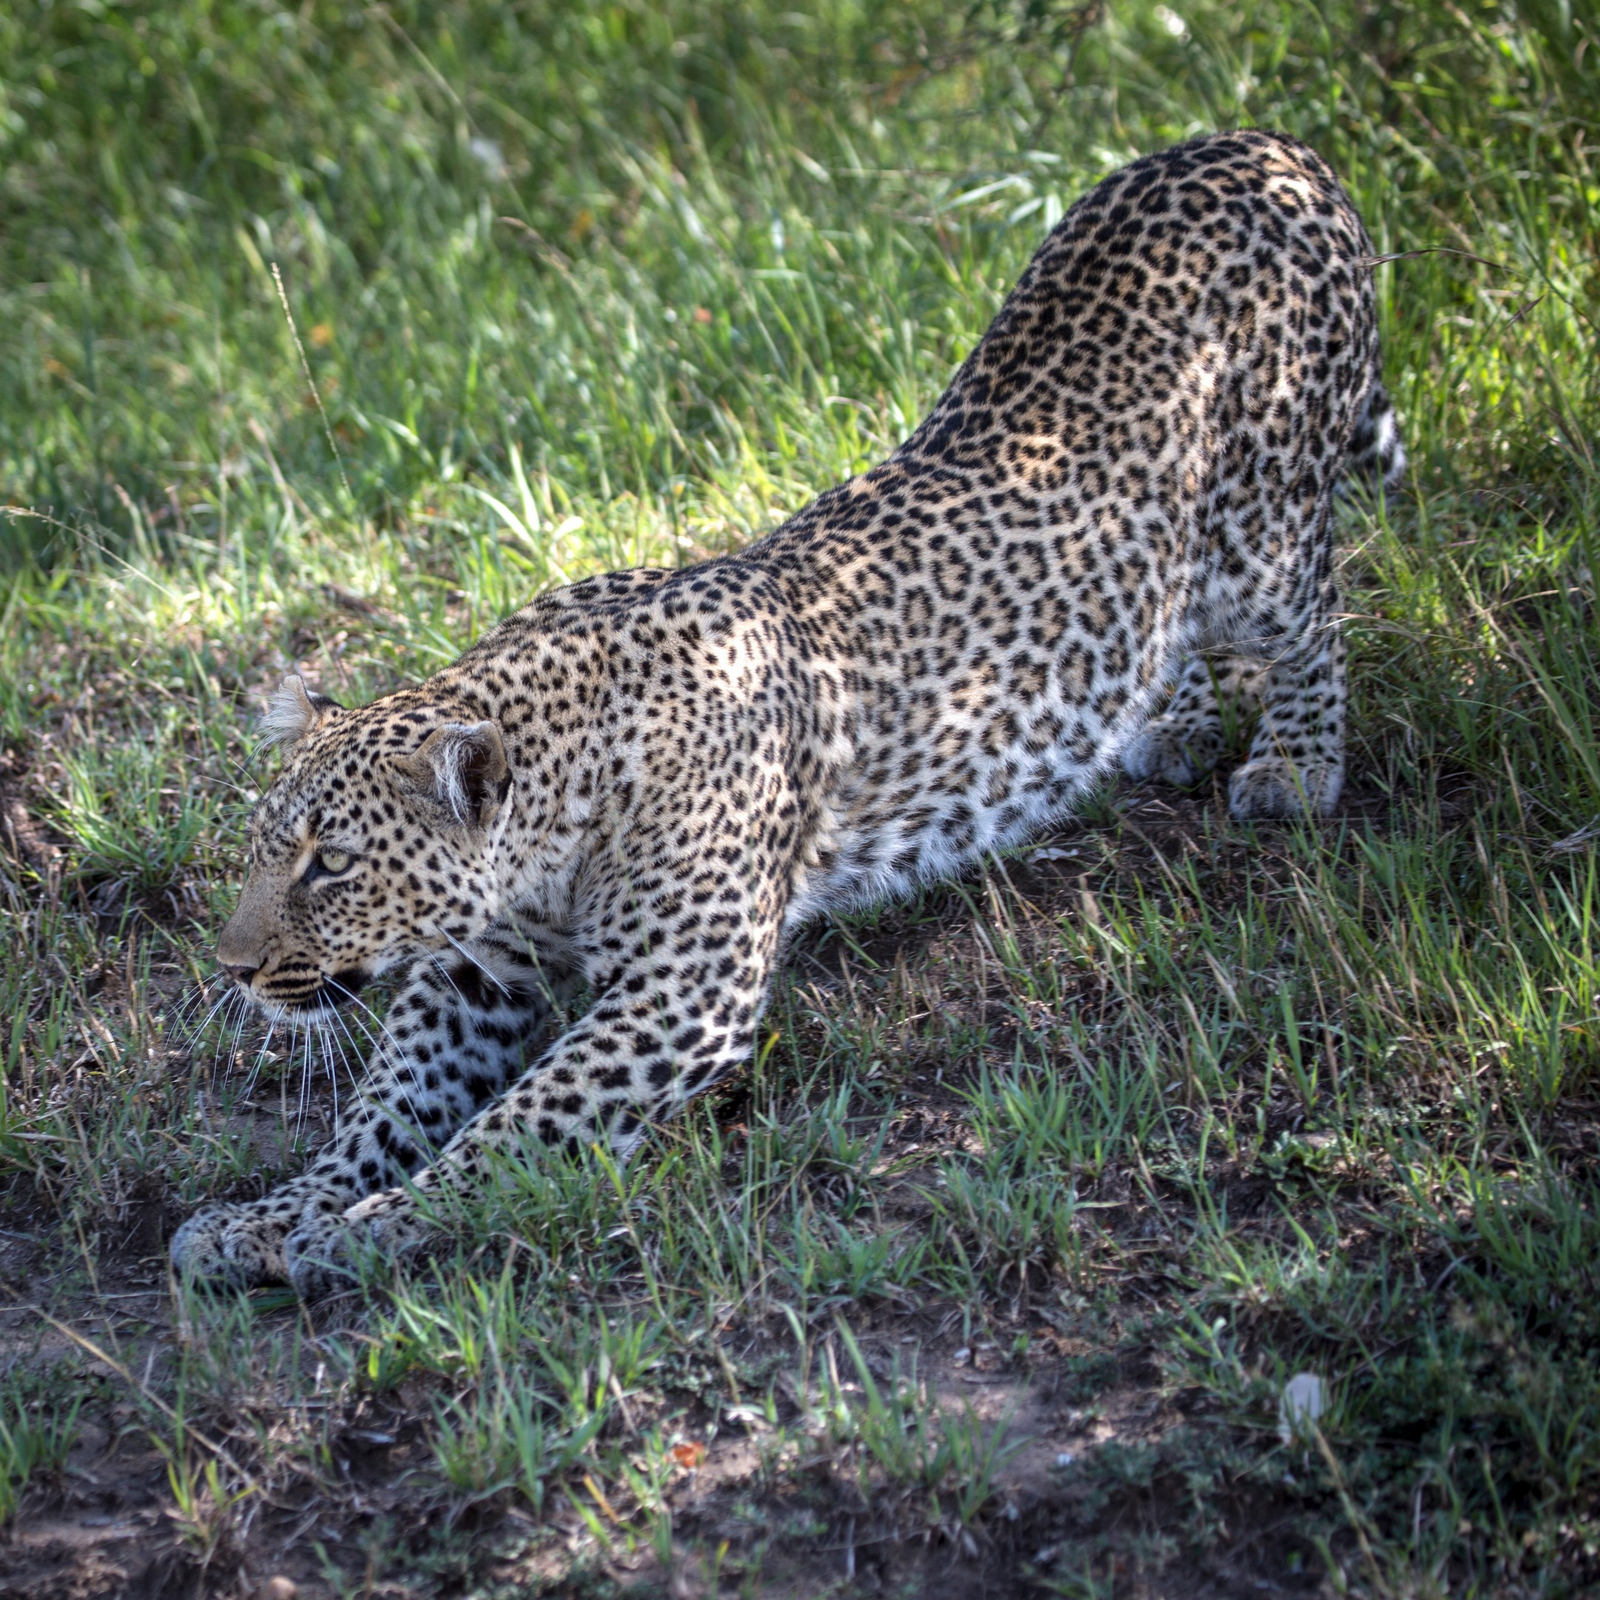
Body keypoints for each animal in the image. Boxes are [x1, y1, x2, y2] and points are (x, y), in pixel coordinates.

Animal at [170, 129, 1405, 1298]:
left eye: (331, 866)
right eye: (265, 850)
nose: (230, 970)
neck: (559, 807)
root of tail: (1262, 146)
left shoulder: (686, 986)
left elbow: (525, 1116)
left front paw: (375, 1225)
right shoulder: (477, 980)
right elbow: (383, 1105)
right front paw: (271, 1215)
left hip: (1263, 523)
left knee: (1318, 604)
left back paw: (1294, 767)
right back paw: (1171, 722)